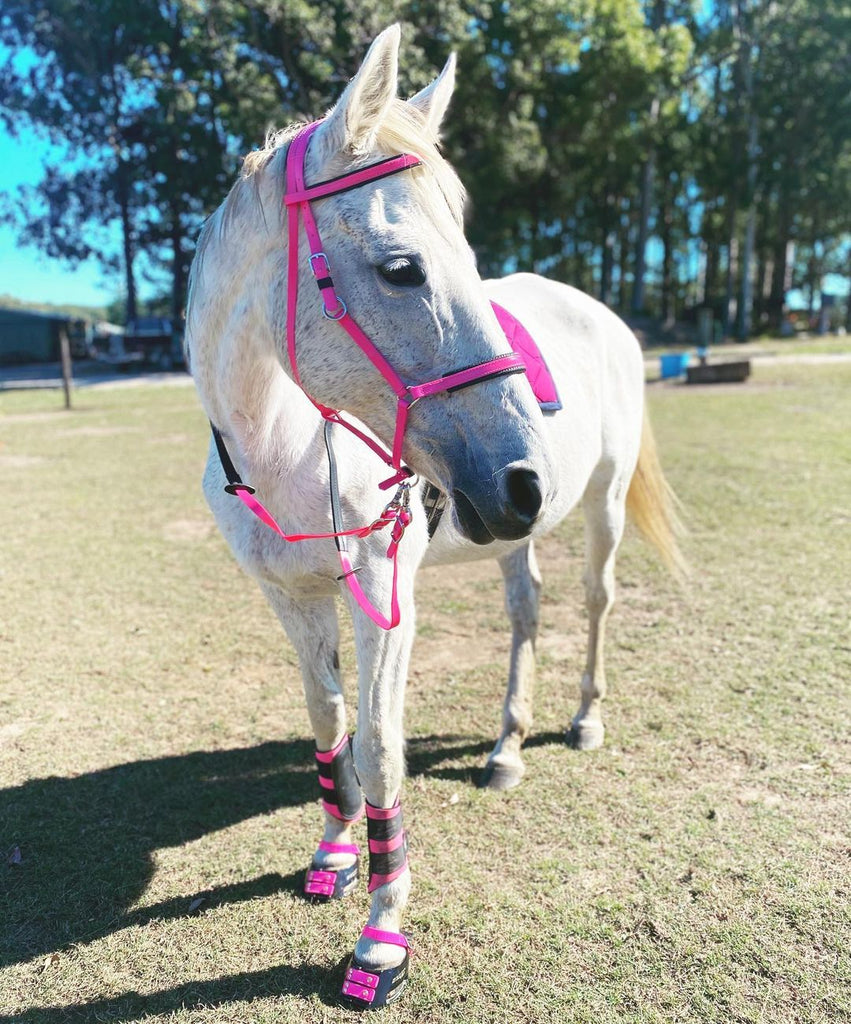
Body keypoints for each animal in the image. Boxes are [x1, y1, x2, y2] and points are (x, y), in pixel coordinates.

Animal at [183, 24, 684, 1007]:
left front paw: (382, 932)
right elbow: (327, 721)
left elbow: (380, 746)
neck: (282, 442)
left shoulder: (386, 595)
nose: (524, 477)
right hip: (514, 531)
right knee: (526, 610)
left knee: (595, 603)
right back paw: (505, 747)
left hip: (597, 504)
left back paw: (583, 719)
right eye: (402, 269)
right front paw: (334, 853)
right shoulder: (291, 597)